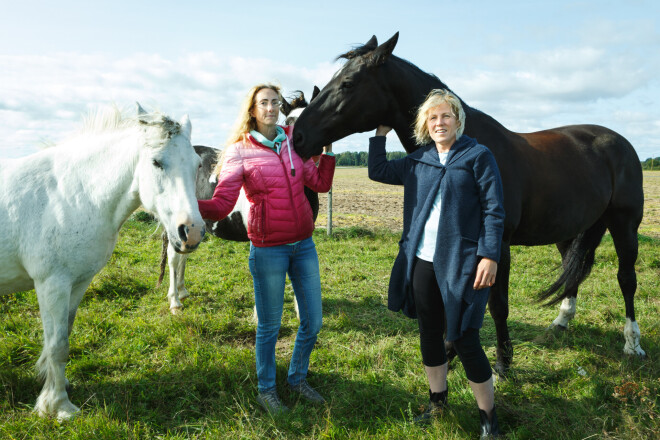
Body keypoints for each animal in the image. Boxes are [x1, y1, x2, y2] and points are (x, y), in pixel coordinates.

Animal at [0, 103, 205, 420]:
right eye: (157, 162)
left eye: (197, 164)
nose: (192, 231)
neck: (71, 196)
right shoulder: (51, 285)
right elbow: (57, 344)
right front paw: (58, 406)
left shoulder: (78, 283)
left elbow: (64, 335)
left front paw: (57, 387)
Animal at [294, 33, 644, 374]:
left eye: (348, 83)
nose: (298, 136)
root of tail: (620, 142)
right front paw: (450, 355)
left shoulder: (497, 247)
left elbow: (497, 304)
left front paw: (502, 361)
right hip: (571, 230)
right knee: (574, 272)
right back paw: (561, 321)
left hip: (625, 225)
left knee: (626, 279)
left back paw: (632, 344)